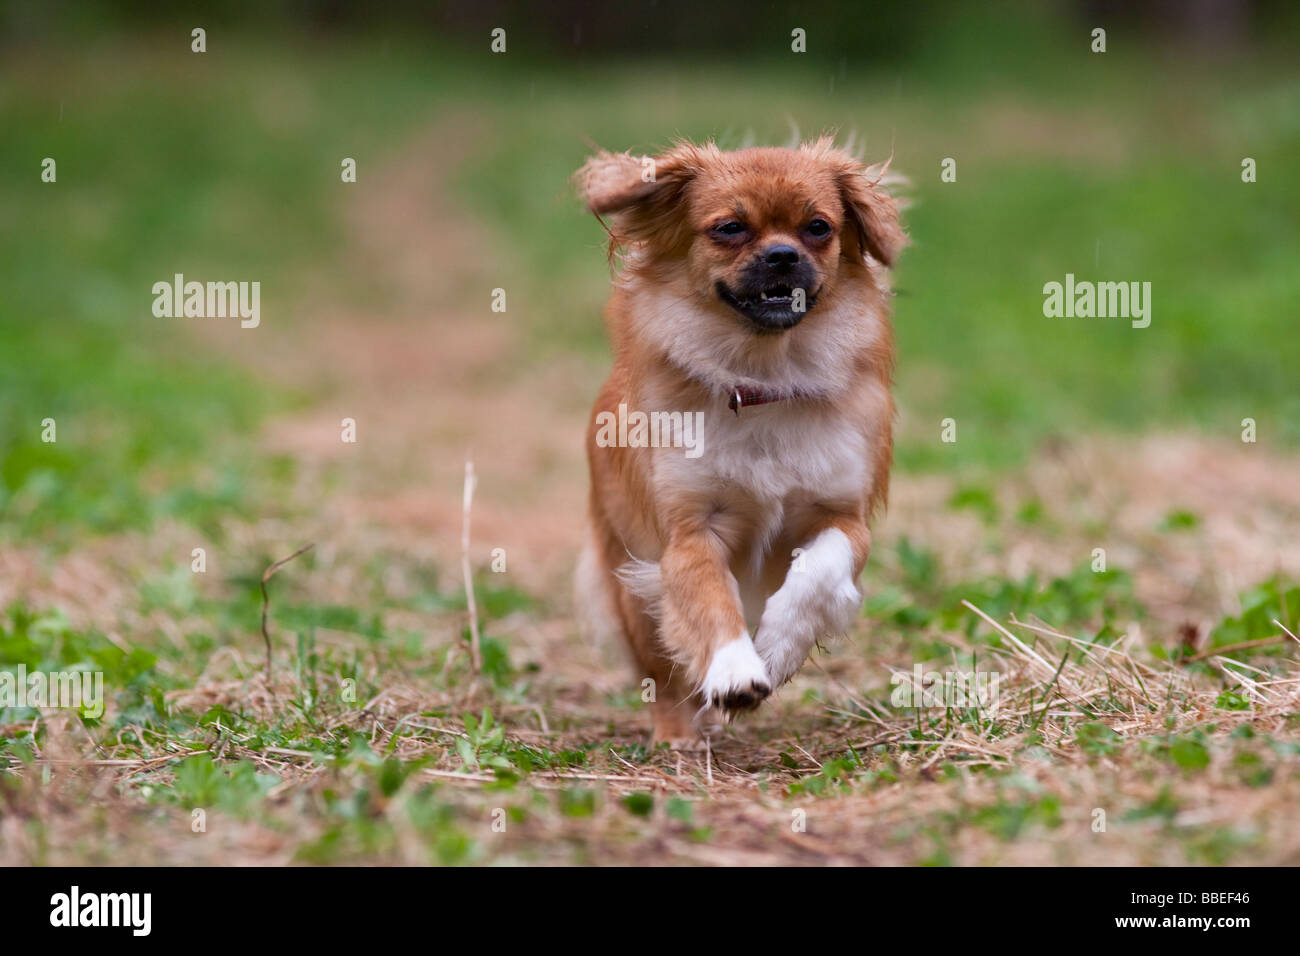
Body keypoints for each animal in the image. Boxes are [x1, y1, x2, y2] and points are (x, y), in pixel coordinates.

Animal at [574, 138, 899, 749]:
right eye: (729, 228)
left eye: (819, 227)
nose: (782, 255)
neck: (763, 377)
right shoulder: (687, 535)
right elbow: (709, 600)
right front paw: (734, 671)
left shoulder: (844, 518)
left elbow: (817, 575)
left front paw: (774, 652)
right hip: (630, 580)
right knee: (663, 673)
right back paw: (678, 735)